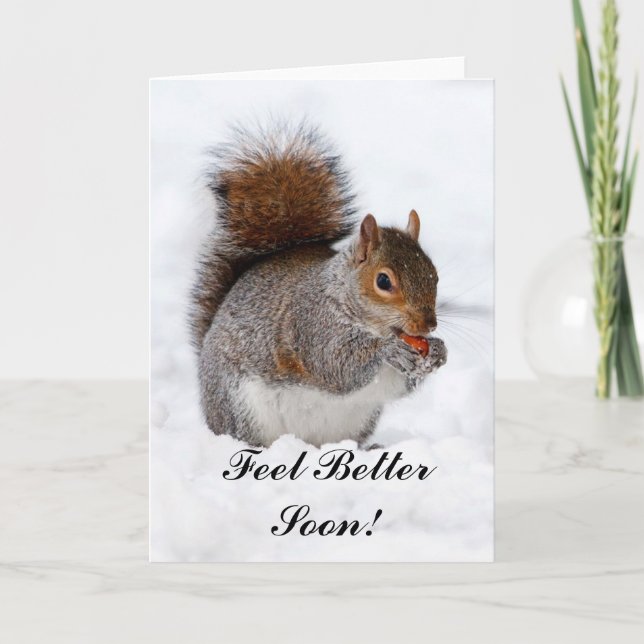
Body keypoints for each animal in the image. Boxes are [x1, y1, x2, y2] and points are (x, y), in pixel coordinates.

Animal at [190, 122, 447, 448]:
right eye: (383, 281)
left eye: (434, 274)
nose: (428, 325)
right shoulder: (312, 324)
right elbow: (336, 364)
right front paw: (388, 350)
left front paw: (438, 351)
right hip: (240, 406)